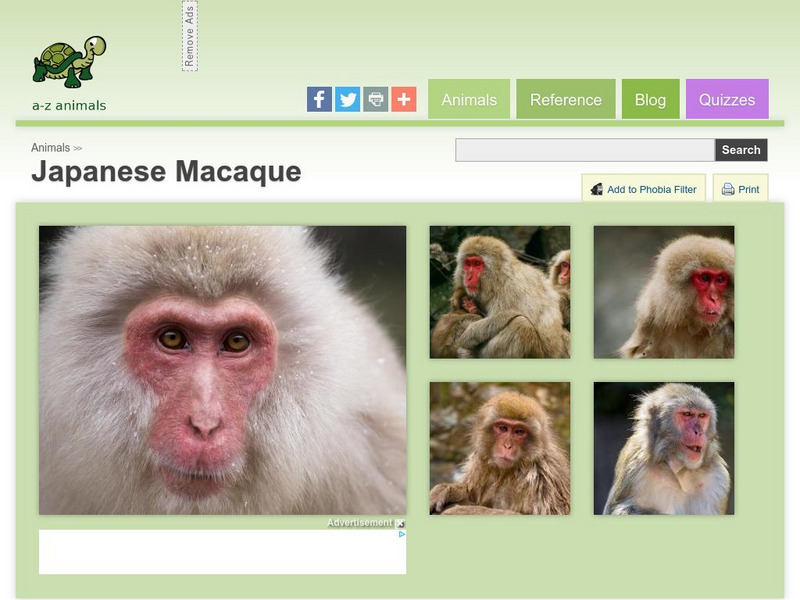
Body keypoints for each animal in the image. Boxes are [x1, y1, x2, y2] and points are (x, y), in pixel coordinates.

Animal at [430, 392, 570, 515]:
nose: (507, 446)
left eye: (519, 431)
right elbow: (471, 491)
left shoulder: (545, 477)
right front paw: (445, 490)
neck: (510, 471)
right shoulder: (480, 464)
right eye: (503, 428)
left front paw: (460, 510)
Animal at [603, 383, 730, 515]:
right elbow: (621, 509)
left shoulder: (719, 478)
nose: (698, 432)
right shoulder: (634, 466)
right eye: (687, 414)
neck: (680, 469)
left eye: (702, 416)